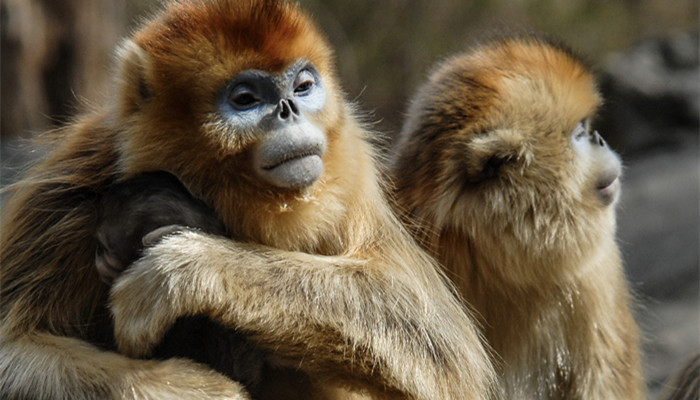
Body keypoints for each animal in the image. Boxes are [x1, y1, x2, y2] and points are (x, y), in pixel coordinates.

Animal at [0, 1, 498, 398]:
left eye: (302, 87)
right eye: (245, 98)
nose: (289, 110)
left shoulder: (350, 163)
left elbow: (443, 350)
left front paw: (184, 268)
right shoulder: (72, 189)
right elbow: (13, 351)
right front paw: (192, 389)